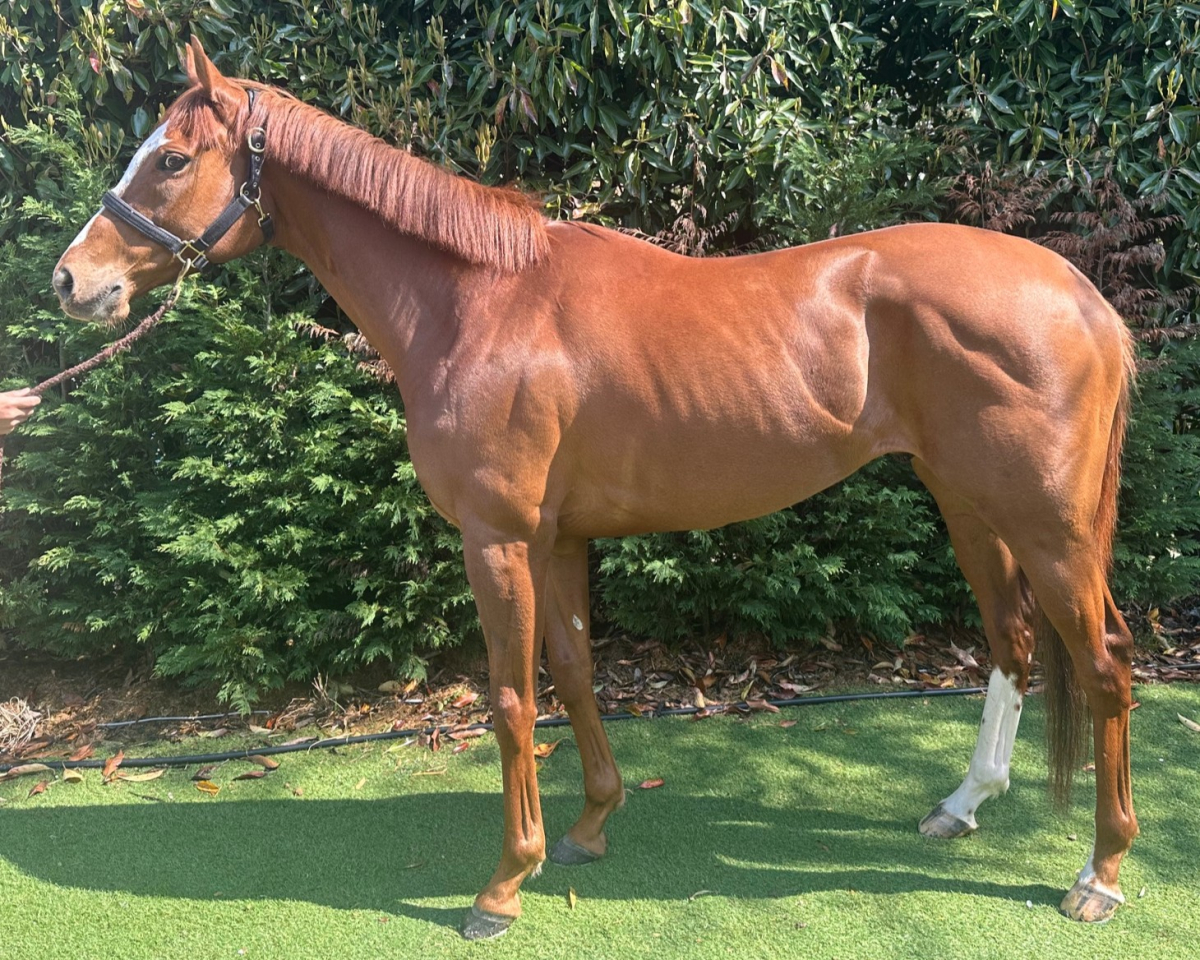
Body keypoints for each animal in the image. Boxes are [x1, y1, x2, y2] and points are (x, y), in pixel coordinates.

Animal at [53, 38, 1137, 939]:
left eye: (172, 159)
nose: (71, 281)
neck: (479, 302)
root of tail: (1083, 299)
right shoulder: (557, 538)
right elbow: (573, 672)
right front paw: (588, 828)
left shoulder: (494, 536)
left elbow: (508, 698)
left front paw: (502, 886)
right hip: (972, 506)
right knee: (1014, 644)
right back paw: (962, 806)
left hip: (1049, 525)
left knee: (1106, 666)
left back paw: (1100, 874)